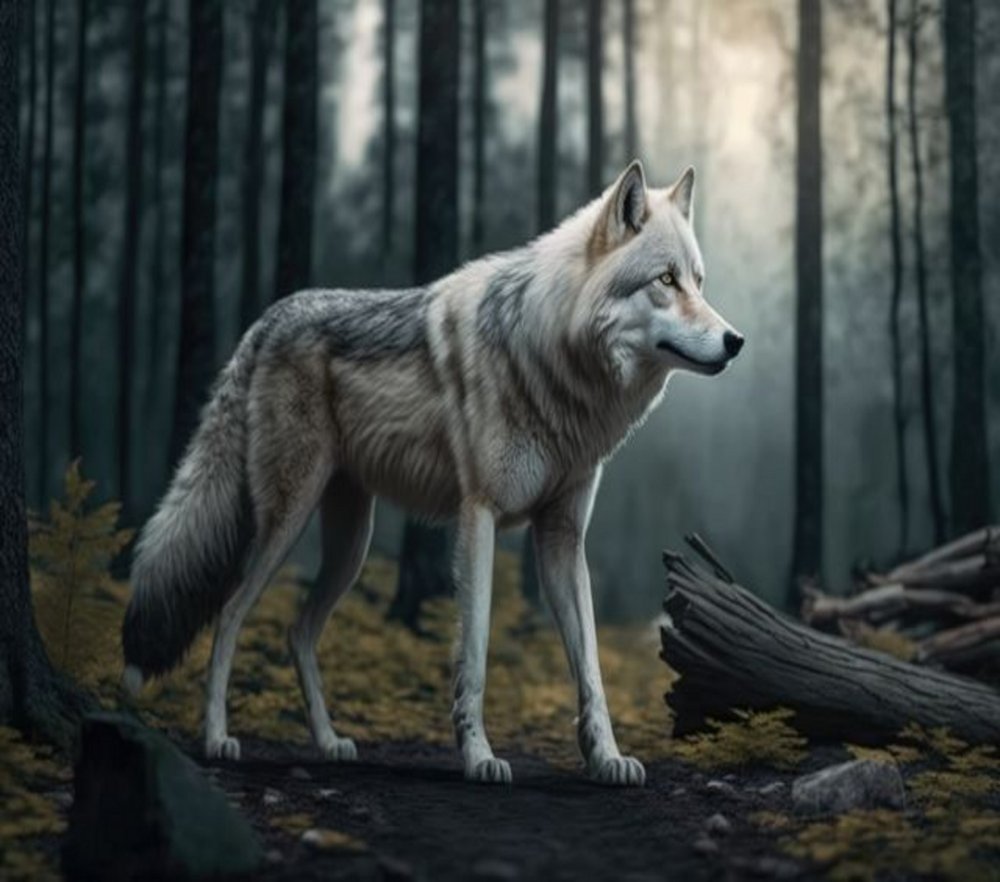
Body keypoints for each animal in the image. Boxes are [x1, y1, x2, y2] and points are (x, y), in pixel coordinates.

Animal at [122, 160, 744, 787]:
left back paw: (329, 743)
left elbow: (590, 664)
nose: (736, 341)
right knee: (228, 614)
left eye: (699, 282)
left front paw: (607, 758)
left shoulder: (562, 537)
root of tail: (268, 318)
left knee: (298, 630)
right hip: (288, 522)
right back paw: (216, 738)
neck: (552, 355)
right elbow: (475, 650)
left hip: (351, 544)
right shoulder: (479, 517)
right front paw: (479, 756)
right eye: (665, 280)